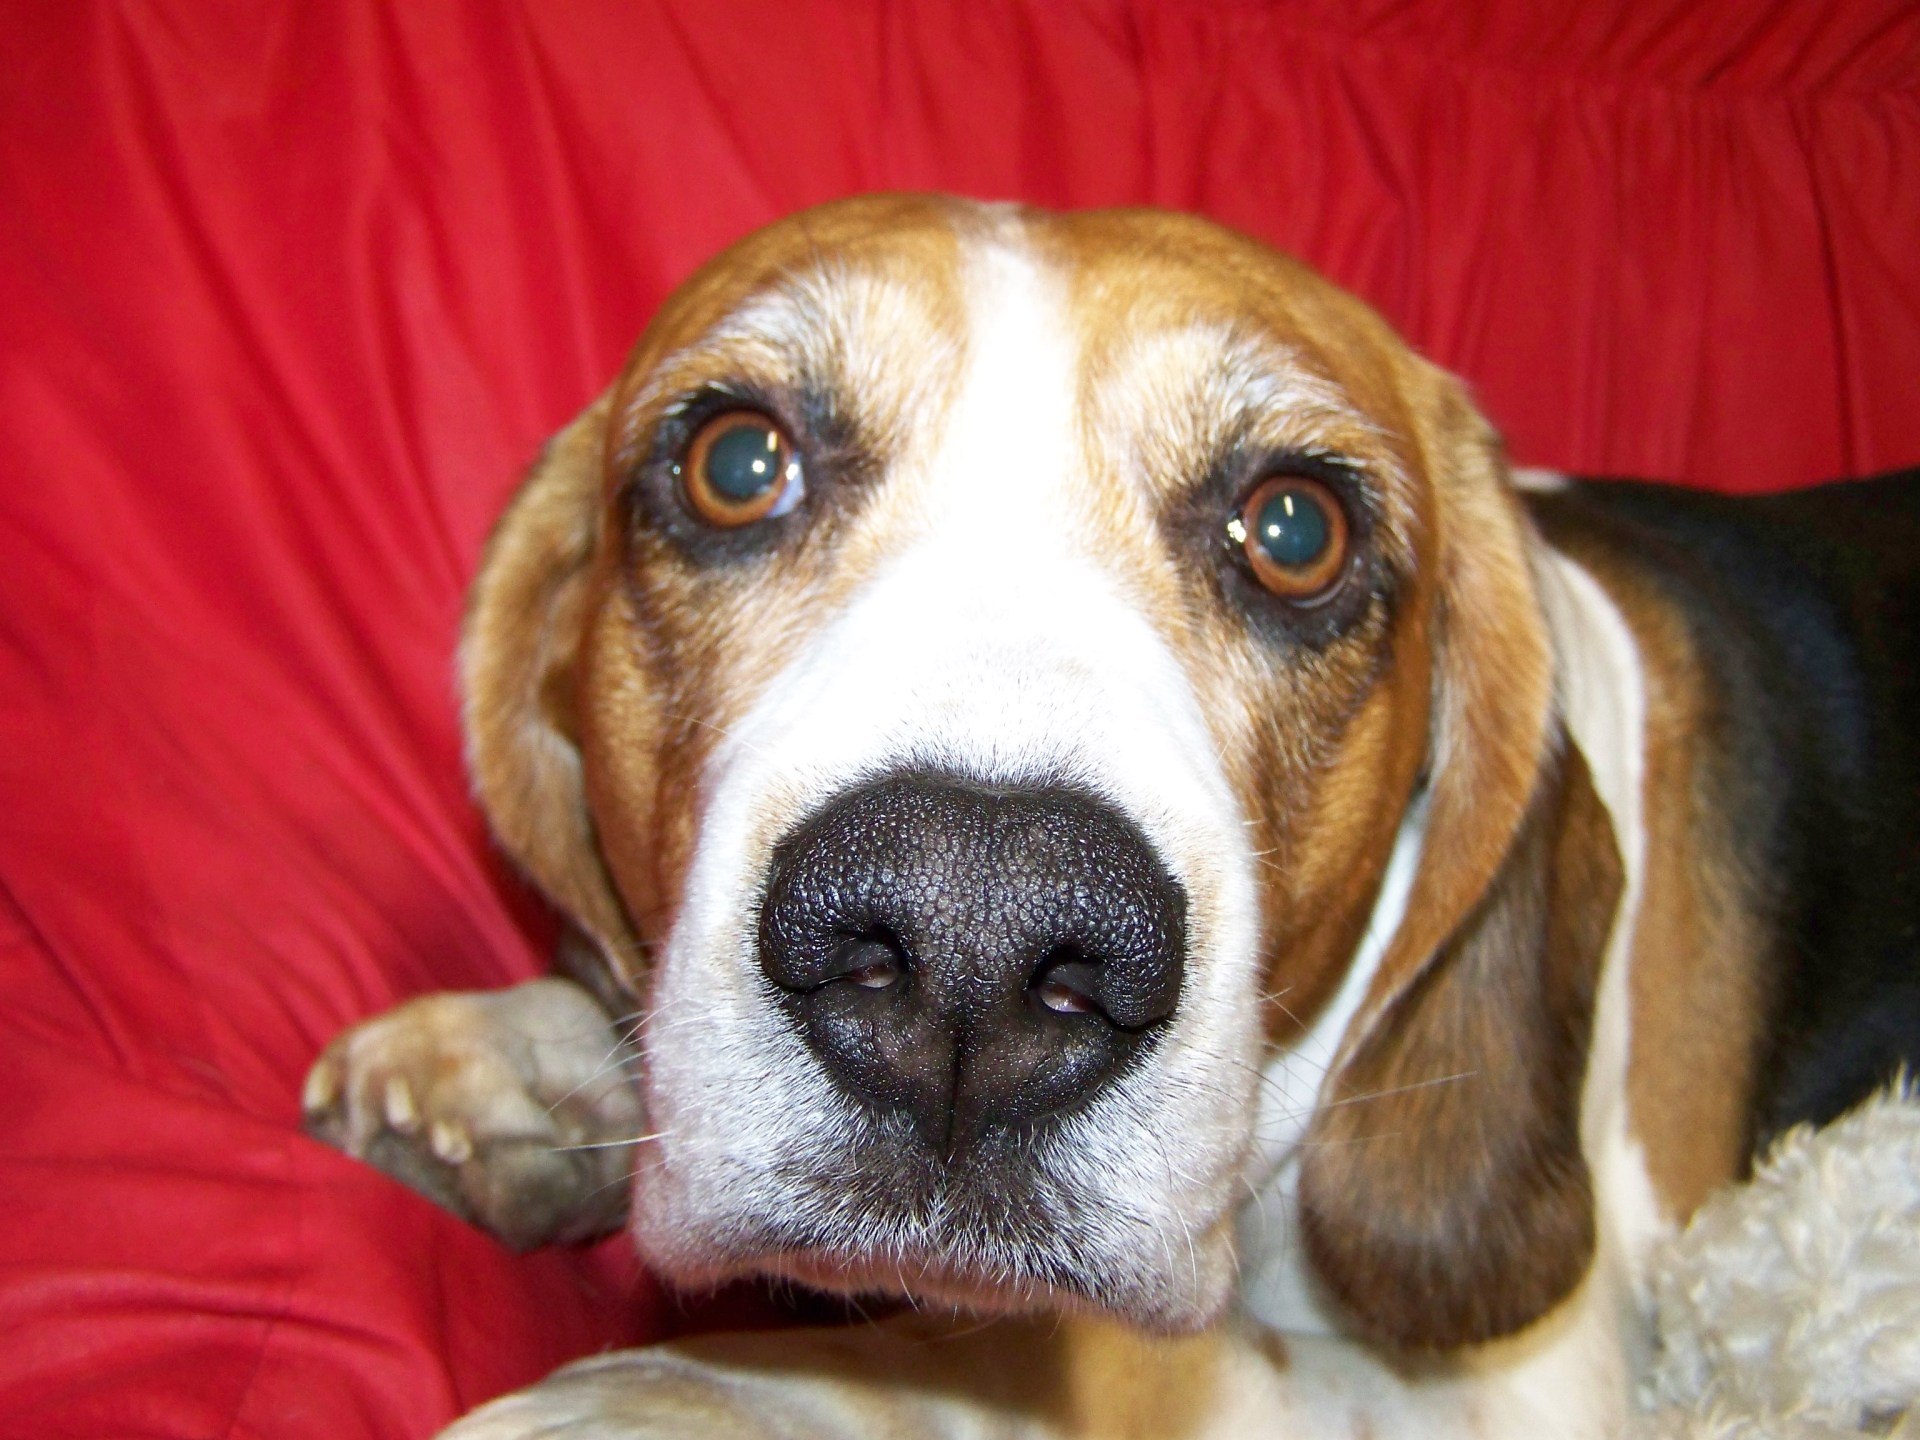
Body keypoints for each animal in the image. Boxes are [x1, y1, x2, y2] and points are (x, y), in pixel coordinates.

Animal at [302, 194, 1920, 1438]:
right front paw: (528, 1064)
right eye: (737, 463)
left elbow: (1061, 1352)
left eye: (1296, 530)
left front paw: (678, 1395)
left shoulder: (1505, 1389)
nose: (971, 934)